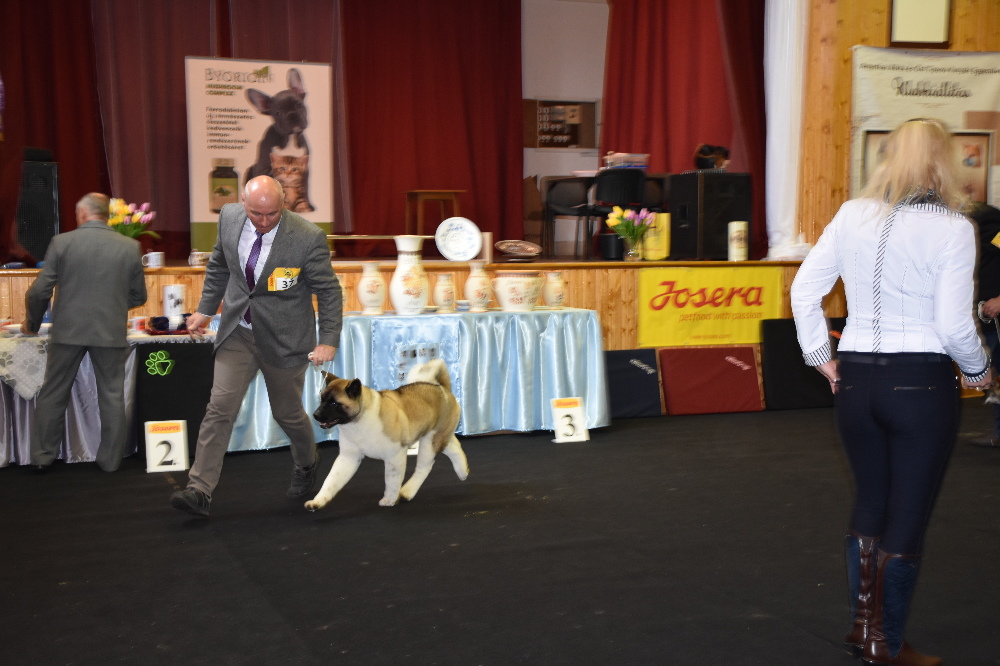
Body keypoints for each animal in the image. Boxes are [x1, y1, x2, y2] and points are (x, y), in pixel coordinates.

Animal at [306, 359, 469, 511]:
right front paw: (318, 501)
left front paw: (389, 499)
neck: (361, 419)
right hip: (437, 436)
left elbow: (391, 480)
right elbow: (331, 481)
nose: (315, 415)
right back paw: (463, 471)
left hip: (430, 442)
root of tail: (442, 388)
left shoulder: (394, 457)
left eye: (334, 403)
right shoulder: (348, 458)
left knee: (424, 467)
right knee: (454, 446)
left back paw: (407, 491)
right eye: (322, 399)